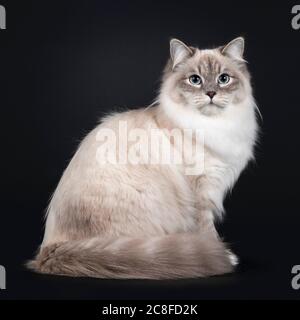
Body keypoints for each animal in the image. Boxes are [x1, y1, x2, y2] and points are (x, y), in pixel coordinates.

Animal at [27, 37, 258, 278]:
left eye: (223, 79)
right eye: (195, 80)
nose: (211, 93)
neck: (213, 127)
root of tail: (49, 248)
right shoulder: (202, 194)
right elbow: (207, 231)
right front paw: (224, 254)